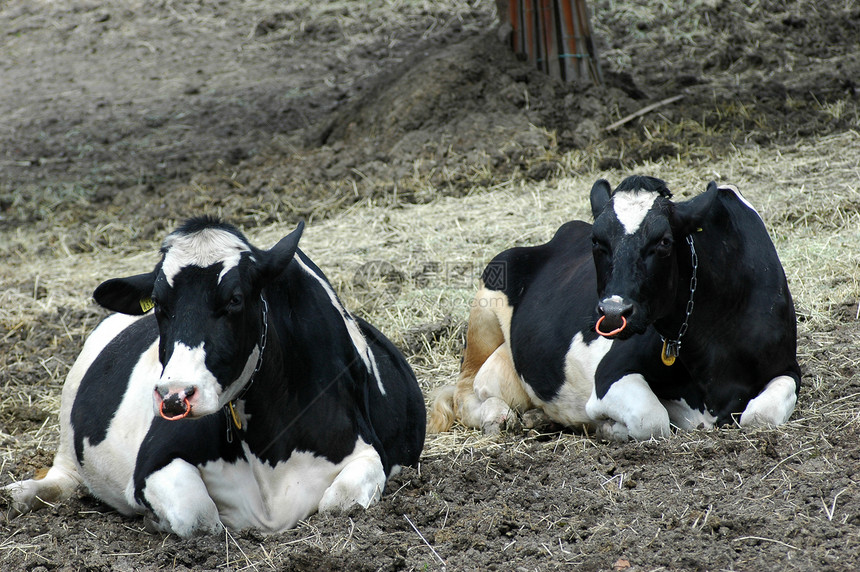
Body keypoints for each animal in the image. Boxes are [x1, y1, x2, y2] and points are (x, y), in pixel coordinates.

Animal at [4, 218, 426, 536]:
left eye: (235, 299)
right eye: (160, 305)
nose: (175, 396)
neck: (270, 449)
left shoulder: (369, 453)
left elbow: (339, 503)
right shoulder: (152, 463)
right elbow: (198, 514)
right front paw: (157, 520)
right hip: (69, 410)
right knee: (65, 476)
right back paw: (18, 493)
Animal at [430, 177, 800, 440]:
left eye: (663, 242)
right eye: (597, 241)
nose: (612, 313)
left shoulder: (787, 367)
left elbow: (759, 417)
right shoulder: (610, 374)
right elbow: (652, 418)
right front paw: (606, 428)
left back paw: (537, 417)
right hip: (486, 306)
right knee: (465, 388)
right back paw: (495, 415)